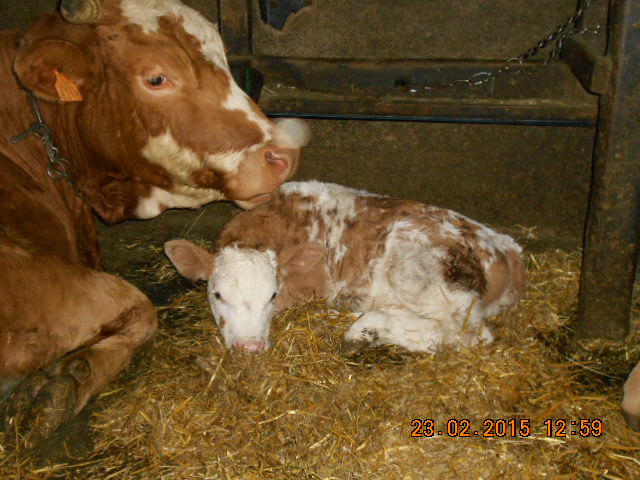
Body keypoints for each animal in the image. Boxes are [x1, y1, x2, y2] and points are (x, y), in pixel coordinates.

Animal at [164, 182, 524, 354]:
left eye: (272, 295)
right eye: (217, 294)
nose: (249, 347)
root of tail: (508, 248)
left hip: (419, 271)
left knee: (462, 334)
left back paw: (362, 331)